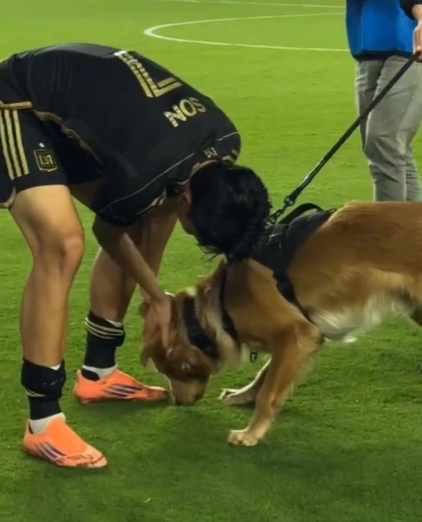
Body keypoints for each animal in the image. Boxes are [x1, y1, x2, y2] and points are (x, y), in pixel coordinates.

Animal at [141, 201, 422, 447]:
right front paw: (242, 395)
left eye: (170, 372)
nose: (176, 402)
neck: (222, 303)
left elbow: (268, 393)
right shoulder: (297, 338)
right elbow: (264, 374)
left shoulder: (297, 335)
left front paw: (250, 433)